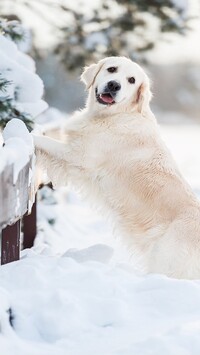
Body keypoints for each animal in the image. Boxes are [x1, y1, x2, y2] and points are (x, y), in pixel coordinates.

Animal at [33, 57, 200, 280]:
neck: (115, 115)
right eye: (112, 69)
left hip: (167, 262)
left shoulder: (77, 156)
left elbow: (41, 140)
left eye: (131, 80)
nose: (114, 85)